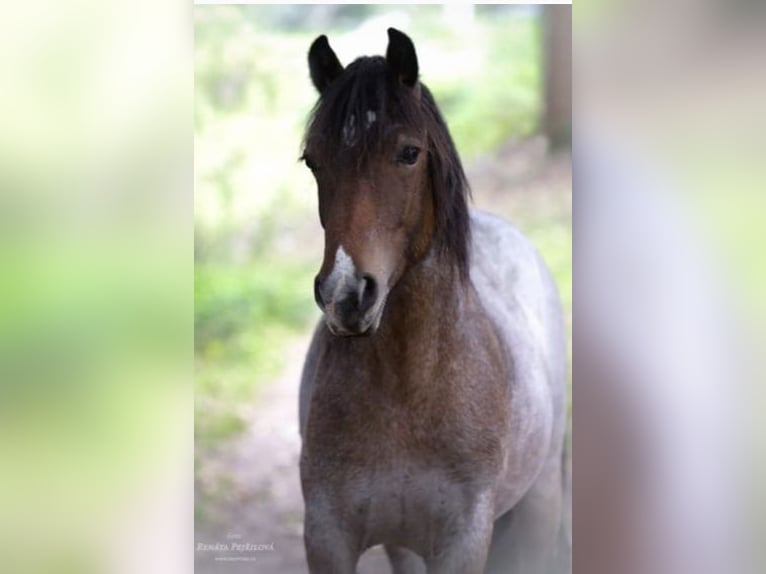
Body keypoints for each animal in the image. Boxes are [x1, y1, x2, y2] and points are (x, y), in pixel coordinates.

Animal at [300, 28, 568, 574]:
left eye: (408, 153)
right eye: (312, 160)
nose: (345, 295)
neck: (408, 392)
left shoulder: (463, 540)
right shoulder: (328, 536)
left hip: (541, 501)